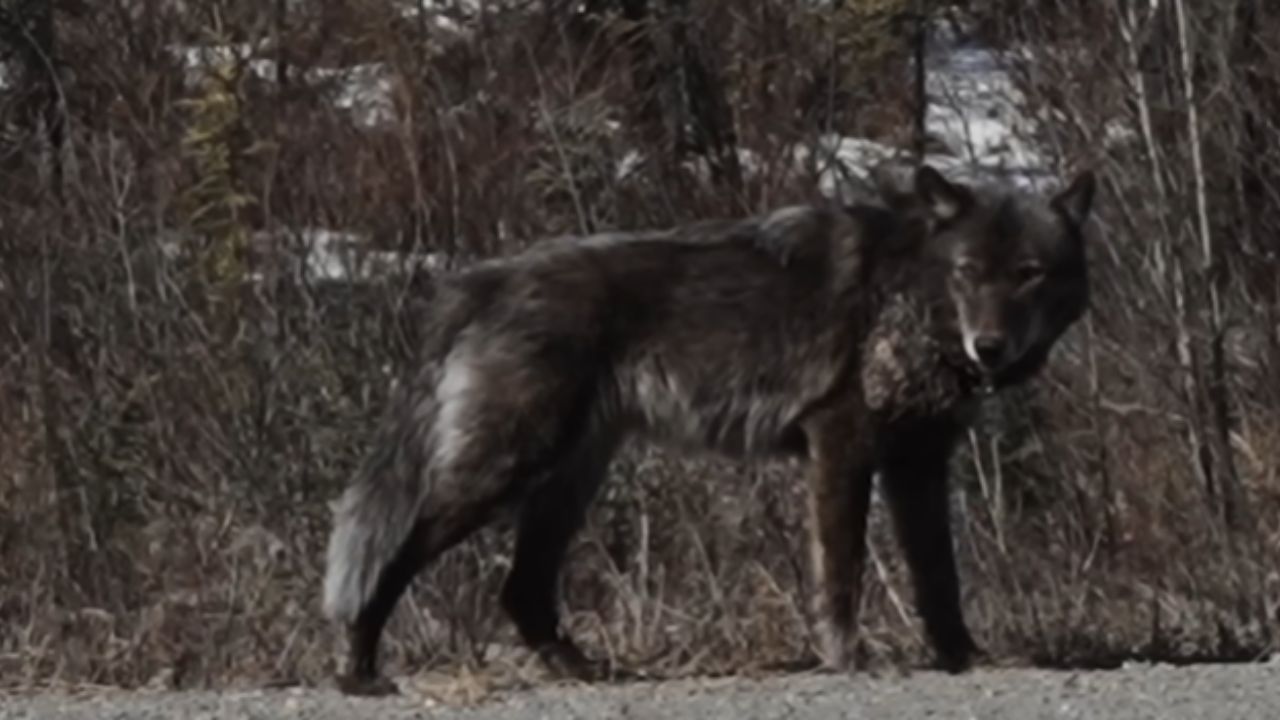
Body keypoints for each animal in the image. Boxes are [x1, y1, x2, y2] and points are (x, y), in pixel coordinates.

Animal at [321, 164, 1097, 695]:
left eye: (1029, 273)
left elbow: (940, 577)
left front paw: (963, 658)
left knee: (523, 592)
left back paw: (582, 670)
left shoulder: (920, 463)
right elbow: (841, 575)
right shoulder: (841, 446)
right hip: (506, 470)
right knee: (390, 558)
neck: (909, 289)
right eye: (969, 270)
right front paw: (849, 659)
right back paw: (360, 672)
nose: (989, 347)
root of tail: (478, 281)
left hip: (568, 480)